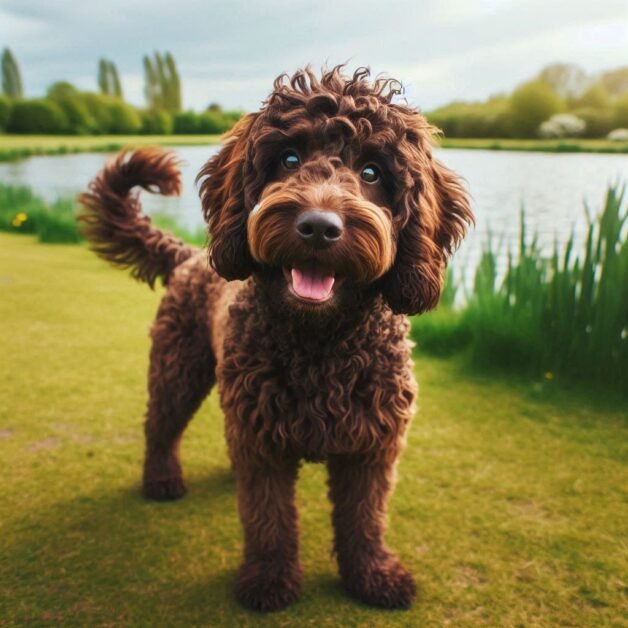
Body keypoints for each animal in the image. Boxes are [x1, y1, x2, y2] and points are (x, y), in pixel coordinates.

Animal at [77, 66, 472, 612]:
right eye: (288, 159)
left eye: (373, 172)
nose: (319, 227)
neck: (320, 346)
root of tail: (189, 255)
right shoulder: (265, 447)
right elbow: (268, 519)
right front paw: (269, 579)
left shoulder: (371, 448)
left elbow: (365, 519)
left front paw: (372, 576)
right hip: (179, 368)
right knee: (160, 425)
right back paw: (161, 479)